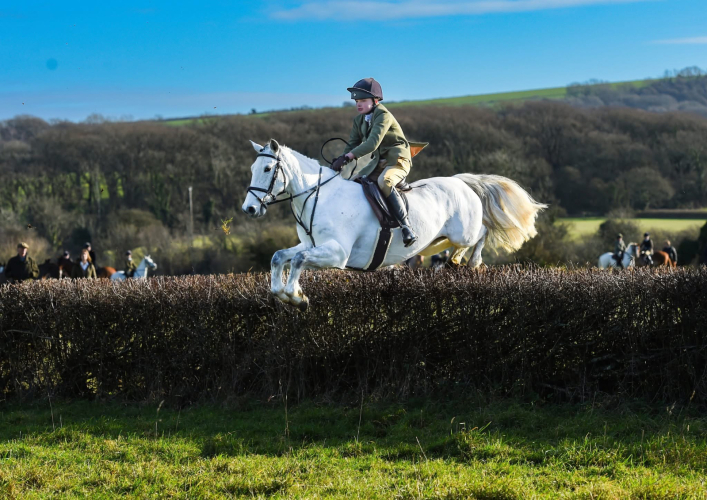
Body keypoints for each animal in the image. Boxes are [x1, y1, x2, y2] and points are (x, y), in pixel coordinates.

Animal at [242, 139, 547, 309]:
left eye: (267, 169)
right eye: (252, 169)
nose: (249, 208)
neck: (319, 196)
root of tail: (461, 181)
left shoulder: (337, 254)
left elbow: (298, 260)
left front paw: (296, 297)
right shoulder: (311, 244)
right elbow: (280, 256)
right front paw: (285, 294)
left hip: (465, 231)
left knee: (482, 232)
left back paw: (471, 262)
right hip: (442, 238)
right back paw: (455, 261)